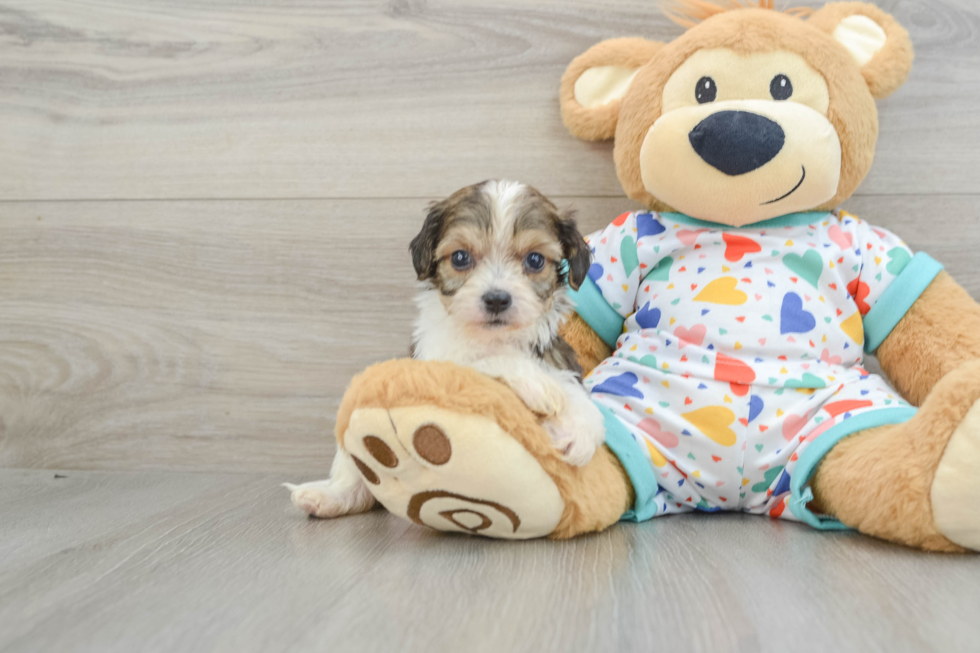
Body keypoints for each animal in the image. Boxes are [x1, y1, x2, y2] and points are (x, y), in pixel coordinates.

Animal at [284, 180, 604, 520]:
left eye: (535, 260)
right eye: (461, 257)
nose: (496, 299)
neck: (490, 337)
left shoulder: (556, 358)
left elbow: (576, 394)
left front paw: (578, 430)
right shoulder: (437, 360)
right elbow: (488, 360)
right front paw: (538, 385)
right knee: (356, 472)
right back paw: (327, 495)